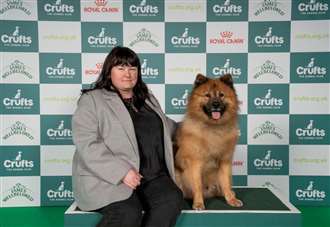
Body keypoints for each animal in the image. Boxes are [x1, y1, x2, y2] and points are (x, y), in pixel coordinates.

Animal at [175, 73, 242, 210]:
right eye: (207, 95)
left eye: (221, 95)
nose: (215, 104)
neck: (213, 127)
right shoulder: (195, 162)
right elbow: (197, 185)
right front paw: (198, 203)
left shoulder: (224, 161)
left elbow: (226, 182)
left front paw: (231, 199)